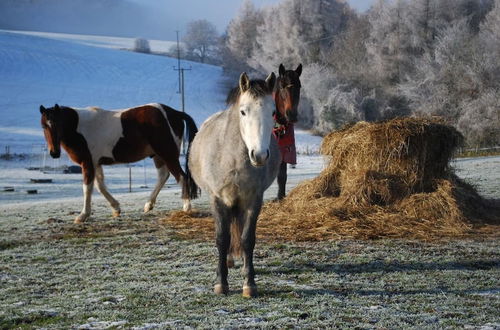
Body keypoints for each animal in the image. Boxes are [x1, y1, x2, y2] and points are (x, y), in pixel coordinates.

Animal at [39, 102, 199, 223]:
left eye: (58, 124)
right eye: (44, 126)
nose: (54, 153)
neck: (79, 127)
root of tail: (175, 113)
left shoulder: (88, 163)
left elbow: (87, 188)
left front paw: (83, 215)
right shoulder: (96, 163)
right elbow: (100, 186)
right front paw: (116, 208)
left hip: (168, 155)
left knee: (182, 177)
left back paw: (186, 207)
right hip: (159, 156)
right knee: (163, 176)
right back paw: (148, 205)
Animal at [188, 71, 282, 296]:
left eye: (273, 112)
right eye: (243, 112)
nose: (259, 155)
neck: (231, 158)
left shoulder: (254, 200)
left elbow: (248, 239)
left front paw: (249, 284)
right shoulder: (218, 199)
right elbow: (222, 238)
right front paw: (221, 283)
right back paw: (229, 261)